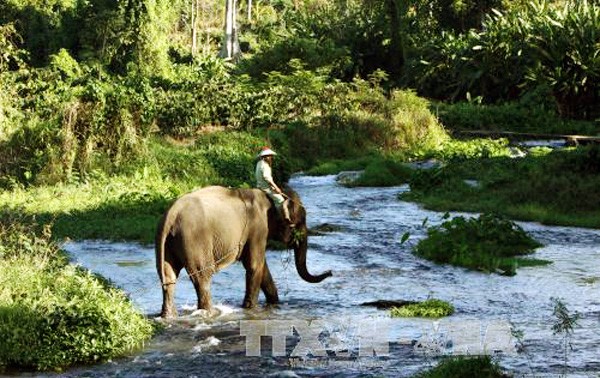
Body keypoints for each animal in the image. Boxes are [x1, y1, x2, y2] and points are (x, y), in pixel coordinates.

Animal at [155, 185, 332, 318]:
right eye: (301, 221)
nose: (330, 272)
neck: (268, 196)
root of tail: (171, 214)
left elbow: (262, 267)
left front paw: (274, 304)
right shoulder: (258, 227)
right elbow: (254, 265)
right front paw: (249, 308)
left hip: (166, 242)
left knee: (168, 277)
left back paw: (169, 316)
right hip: (194, 240)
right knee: (202, 277)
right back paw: (211, 313)